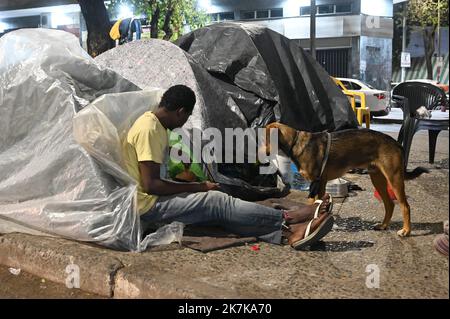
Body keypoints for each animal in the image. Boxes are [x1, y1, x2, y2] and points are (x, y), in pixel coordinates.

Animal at [264, 123, 428, 238]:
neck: (296, 142)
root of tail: (397, 144)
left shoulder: (315, 182)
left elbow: (311, 203)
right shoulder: (321, 183)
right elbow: (319, 204)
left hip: (394, 177)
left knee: (405, 206)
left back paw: (406, 231)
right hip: (378, 178)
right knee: (389, 204)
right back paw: (383, 225)